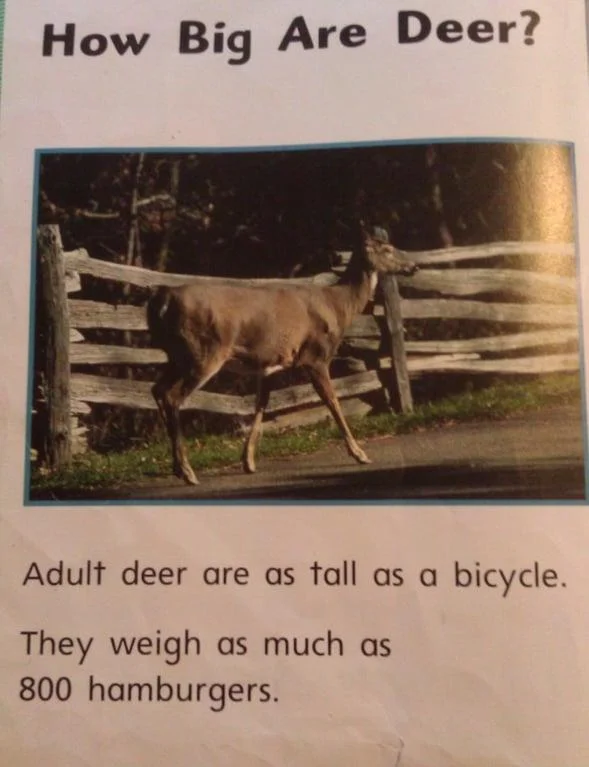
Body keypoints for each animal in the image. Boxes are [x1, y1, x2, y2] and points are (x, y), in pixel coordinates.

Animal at [147, 225, 418, 485]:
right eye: (388, 249)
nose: (413, 266)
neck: (339, 306)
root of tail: (163, 300)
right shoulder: (315, 355)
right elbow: (333, 401)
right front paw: (360, 453)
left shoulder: (270, 363)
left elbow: (261, 405)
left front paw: (248, 461)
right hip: (205, 351)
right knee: (172, 396)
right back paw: (187, 471)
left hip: (177, 355)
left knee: (157, 389)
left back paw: (178, 467)